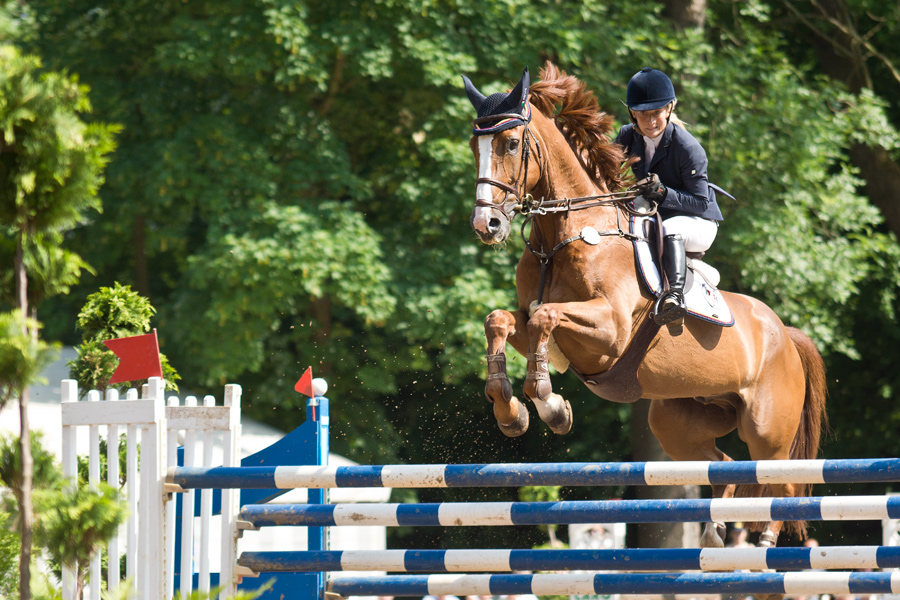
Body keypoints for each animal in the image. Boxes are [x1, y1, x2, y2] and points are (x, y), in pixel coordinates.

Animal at [468, 63, 828, 552]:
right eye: (475, 146)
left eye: (510, 143)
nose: (485, 224)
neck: (563, 235)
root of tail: (785, 336)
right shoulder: (538, 323)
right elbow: (500, 320)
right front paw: (510, 409)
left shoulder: (610, 332)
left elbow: (547, 318)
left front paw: (548, 402)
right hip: (678, 422)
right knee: (723, 465)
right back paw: (715, 534)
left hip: (766, 429)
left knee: (780, 481)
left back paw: (761, 545)